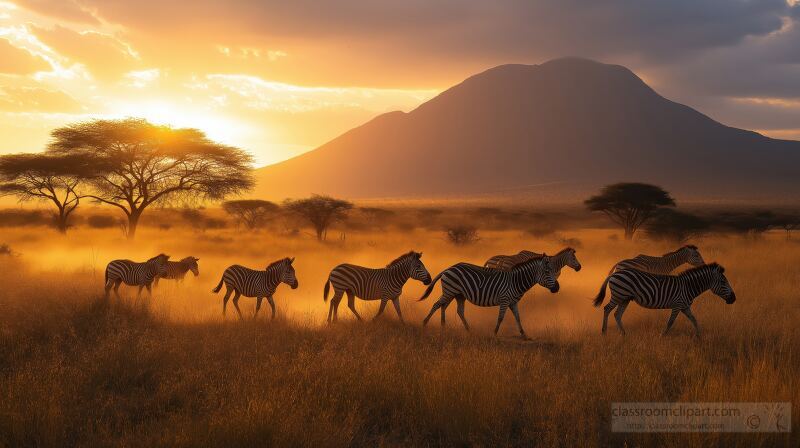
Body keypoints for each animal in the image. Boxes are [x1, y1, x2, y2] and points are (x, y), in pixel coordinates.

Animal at [416, 256, 560, 336]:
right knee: (437, 305)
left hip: (457, 294)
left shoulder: (513, 302)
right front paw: (495, 333)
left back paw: (455, 328)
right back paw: (425, 323)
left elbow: (518, 317)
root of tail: (448, 268)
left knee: (452, 309)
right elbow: (501, 318)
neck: (515, 281)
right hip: (450, 291)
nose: (557, 288)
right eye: (547, 271)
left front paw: (524, 334)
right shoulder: (505, 300)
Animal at [592, 262, 736, 336]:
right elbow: (670, 322)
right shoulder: (677, 305)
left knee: (617, 314)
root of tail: (615, 273)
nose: (734, 299)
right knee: (607, 309)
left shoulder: (685, 306)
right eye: (723, 282)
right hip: (619, 295)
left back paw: (624, 334)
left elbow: (694, 320)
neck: (688, 287)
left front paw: (699, 337)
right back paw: (604, 332)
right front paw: (663, 336)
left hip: (625, 298)